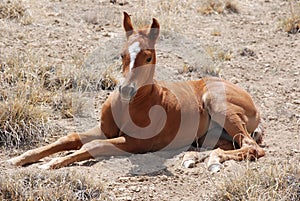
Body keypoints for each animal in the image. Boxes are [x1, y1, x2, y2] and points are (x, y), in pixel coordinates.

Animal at [7, 12, 264, 171]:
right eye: (121, 54)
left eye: (148, 57)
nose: (126, 90)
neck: (133, 104)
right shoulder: (105, 130)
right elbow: (68, 138)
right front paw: (18, 159)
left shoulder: (133, 143)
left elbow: (92, 146)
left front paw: (48, 165)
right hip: (212, 134)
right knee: (229, 145)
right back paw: (197, 158)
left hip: (217, 103)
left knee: (252, 147)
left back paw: (213, 160)